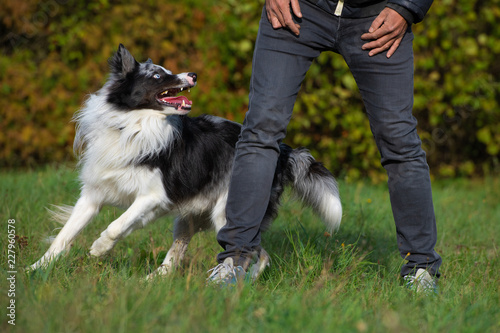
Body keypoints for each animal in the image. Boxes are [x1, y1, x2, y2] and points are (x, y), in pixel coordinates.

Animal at [29, 44, 342, 278]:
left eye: (168, 72)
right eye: (157, 76)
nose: (193, 74)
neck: (132, 125)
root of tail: (283, 150)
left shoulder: (153, 195)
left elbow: (117, 224)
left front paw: (99, 247)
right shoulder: (92, 196)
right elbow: (65, 234)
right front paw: (35, 269)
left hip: (226, 214)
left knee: (259, 253)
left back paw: (242, 281)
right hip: (189, 217)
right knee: (177, 253)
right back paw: (152, 280)